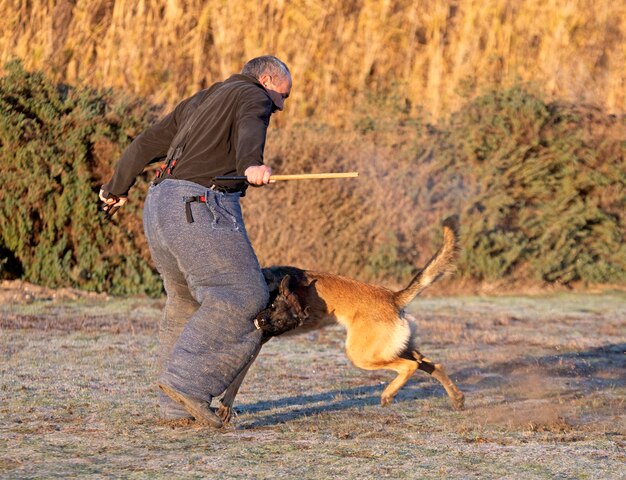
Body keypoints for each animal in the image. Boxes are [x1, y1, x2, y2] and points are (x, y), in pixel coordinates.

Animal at [216, 216, 464, 422]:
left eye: (280, 319)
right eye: (273, 307)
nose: (260, 323)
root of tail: (394, 298)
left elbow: (235, 378)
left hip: (362, 354)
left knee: (410, 366)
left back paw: (388, 394)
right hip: (397, 347)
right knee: (432, 364)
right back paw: (456, 398)